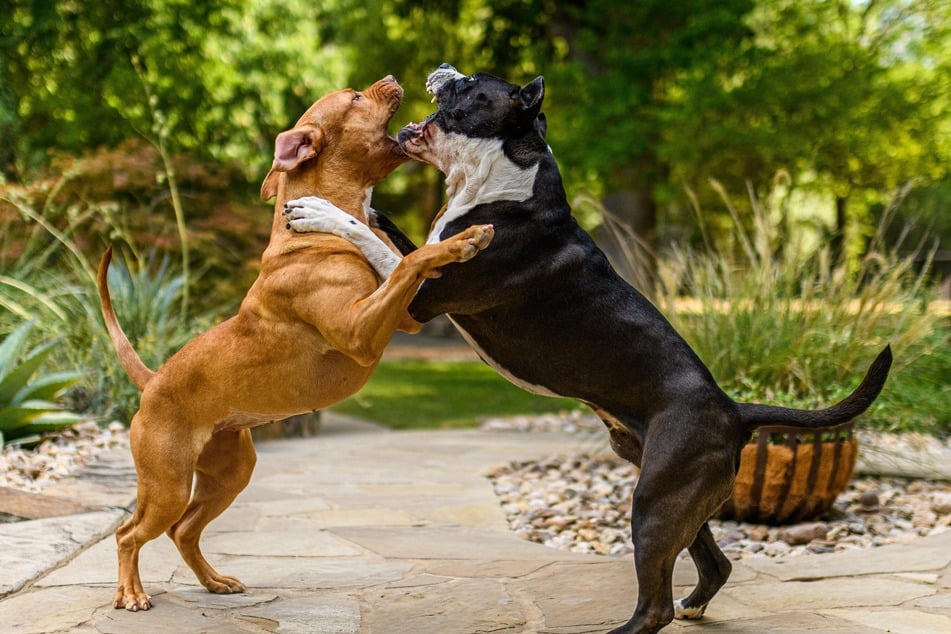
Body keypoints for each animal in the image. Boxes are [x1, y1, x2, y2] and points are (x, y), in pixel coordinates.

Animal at [99, 75, 494, 612]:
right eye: (354, 98)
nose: (391, 80)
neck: (306, 238)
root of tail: (152, 379)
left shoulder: (405, 315)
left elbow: (405, 259)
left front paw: (460, 237)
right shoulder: (360, 332)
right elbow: (413, 259)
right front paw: (462, 239)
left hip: (231, 472)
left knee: (183, 531)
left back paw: (214, 582)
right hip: (168, 484)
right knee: (130, 533)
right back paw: (132, 593)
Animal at [282, 65, 892, 632]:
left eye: (473, 83)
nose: (444, 70)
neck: (503, 182)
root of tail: (734, 409)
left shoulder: (418, 302)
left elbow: (383, 247)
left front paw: (320, 211)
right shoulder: (427, 260)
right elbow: (392, 233)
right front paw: (361, 205)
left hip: (653, 503)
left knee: (654, 606)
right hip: (673, 493)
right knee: (713, 564)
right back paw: (696, 604)